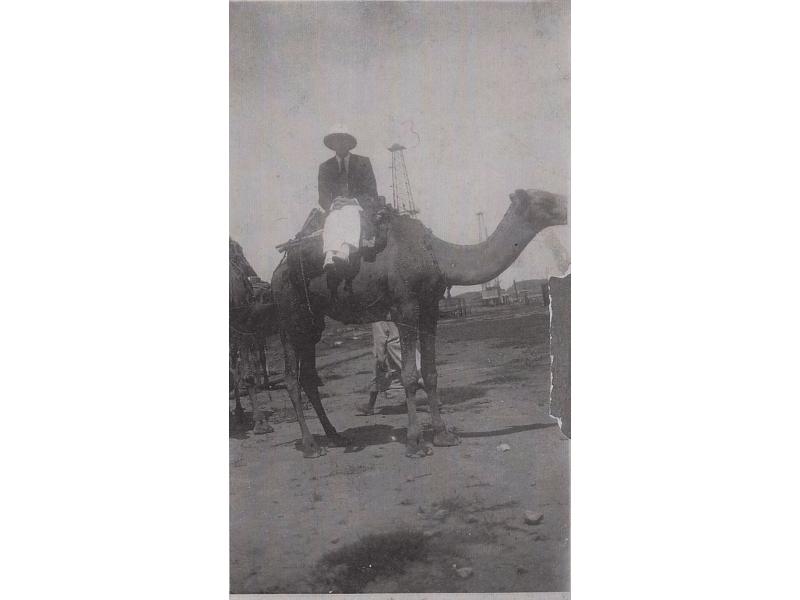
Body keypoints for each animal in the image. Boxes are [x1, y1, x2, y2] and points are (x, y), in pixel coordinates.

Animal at [272, 190, 564, 458]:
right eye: (545, 199)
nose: (566, 206)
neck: (436, 255)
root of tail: (277, 272)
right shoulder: (406, 307)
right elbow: (410, 374)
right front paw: (416, 442)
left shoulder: (429, 308)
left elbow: (431, 372)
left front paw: (443, 434)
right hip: (290, 319)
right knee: (290, 377)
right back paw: (311, 446)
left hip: (312, 323)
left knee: (309, 376)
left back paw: (334, 436)